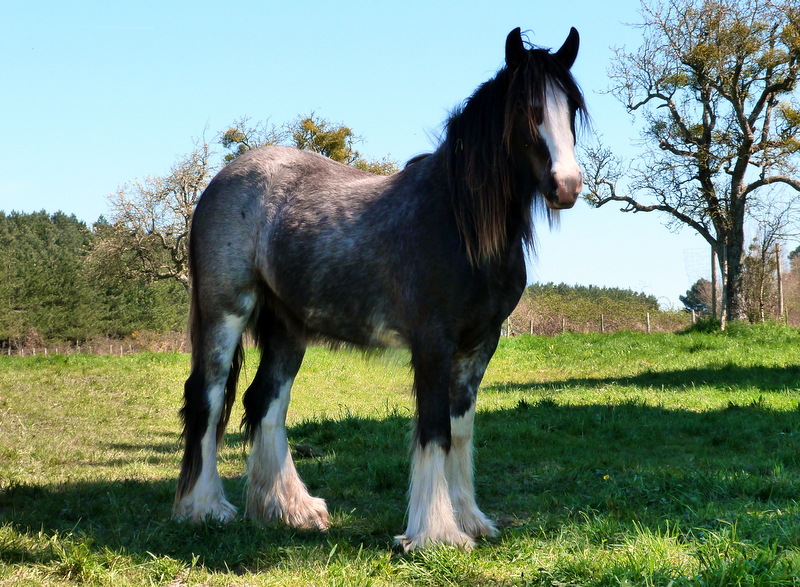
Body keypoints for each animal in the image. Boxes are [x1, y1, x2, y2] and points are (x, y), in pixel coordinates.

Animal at [175, 27, 588, 552]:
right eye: (525, 108)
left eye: (571, 107)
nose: (567, 185)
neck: (458, 222)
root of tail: (221, 181)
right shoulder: (433, 344)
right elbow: (434, 430)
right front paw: (435, 535)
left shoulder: (480, 344)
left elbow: (461, 430)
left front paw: (470, 520)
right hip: (224, 312)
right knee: (207, 399)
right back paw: (206, 508)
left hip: (288, 326)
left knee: (265, 402)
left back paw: (288, 509)